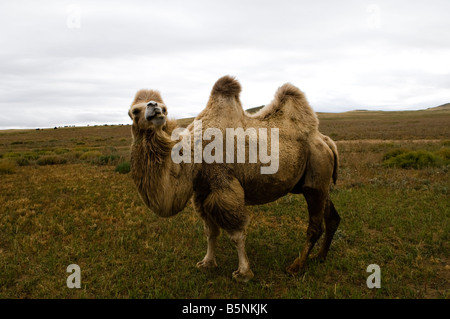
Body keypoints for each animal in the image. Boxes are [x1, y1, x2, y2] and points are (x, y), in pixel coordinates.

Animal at [128, 76, 340, 284]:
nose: (154, 107)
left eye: (164, 109)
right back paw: (320, 257)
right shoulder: (201, 192)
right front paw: (207, 263)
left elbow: (236, 234)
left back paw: (296, 266)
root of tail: (326, 141)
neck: (194, 156)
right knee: (332, 217)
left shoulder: (224, 184)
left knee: (315, 226)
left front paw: (244, 273)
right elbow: (210, 231)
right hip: (317, 181)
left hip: (316, 174)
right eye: (134, 111)